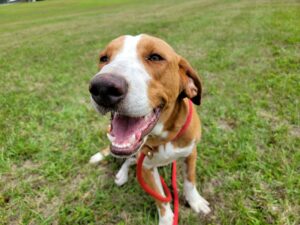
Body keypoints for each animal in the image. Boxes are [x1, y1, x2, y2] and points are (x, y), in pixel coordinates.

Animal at [89, 34, 211, 224]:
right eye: (104, 58)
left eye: (155, 57)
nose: (102, 87)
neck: (163, 137)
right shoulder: (146, 167)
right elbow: (161, 200)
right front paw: (167, 220)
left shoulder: (191, 153)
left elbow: (190, 182)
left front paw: (195, 202)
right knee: (128, 160)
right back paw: (121, 175)